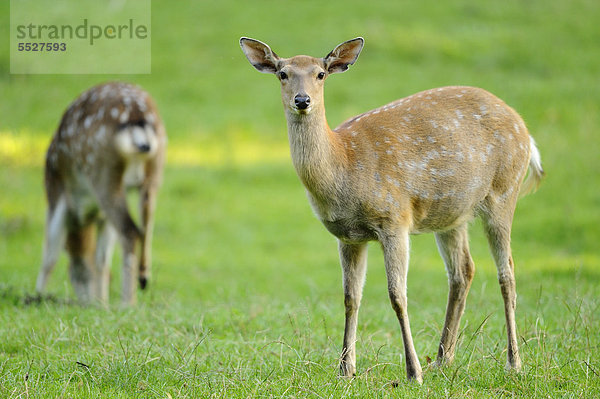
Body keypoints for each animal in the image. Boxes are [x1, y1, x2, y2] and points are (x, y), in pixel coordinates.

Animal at [35, 81, 166, 306]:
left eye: (73, 274)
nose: (88, 303)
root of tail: (138, 117)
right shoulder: (102, 216)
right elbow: (101, 259)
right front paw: (102, 302)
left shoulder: (55, 191)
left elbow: (50, 253)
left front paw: (36, 296)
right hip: (153, 173)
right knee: (145, 226)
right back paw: (142, 279)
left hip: (103, 172)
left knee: (130, 230)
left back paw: (127, 303)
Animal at [239, 38, 544, 384]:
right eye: (283, 73)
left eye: (320, 74)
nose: (302, 100)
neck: (344, 165)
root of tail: (526, 132)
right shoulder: (348, 237)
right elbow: (350, 298)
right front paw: (346, 369)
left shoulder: (394, 219)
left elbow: (397, 296)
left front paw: (413, 371)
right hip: (451, 214)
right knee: (463, 271)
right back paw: (443, 359)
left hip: (504, 191)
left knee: (507, 273)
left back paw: (513, 362)